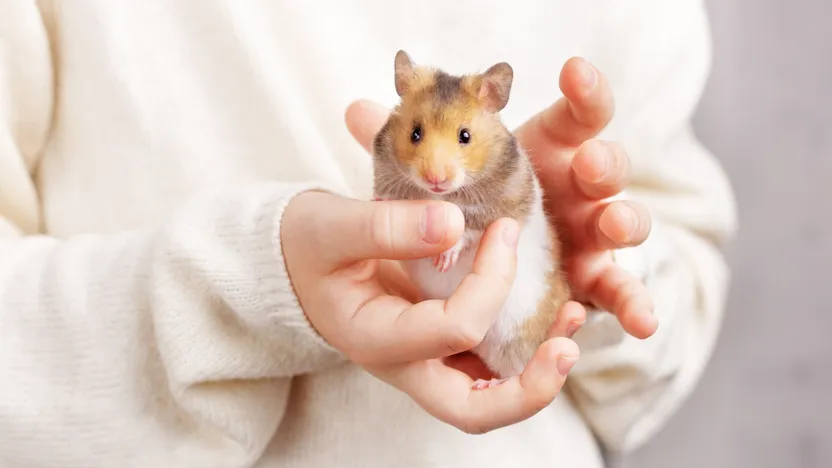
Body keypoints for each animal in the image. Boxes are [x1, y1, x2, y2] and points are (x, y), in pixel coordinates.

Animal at [370, 50, 571, 389]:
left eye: (465, 136)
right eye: (415, 133)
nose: (435, 179)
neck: (442, 195)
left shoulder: (502, 208)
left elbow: (471, 229)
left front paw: (444, 260)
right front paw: (374, 203)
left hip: (517, 334)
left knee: (519, 369)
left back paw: (487, 384)